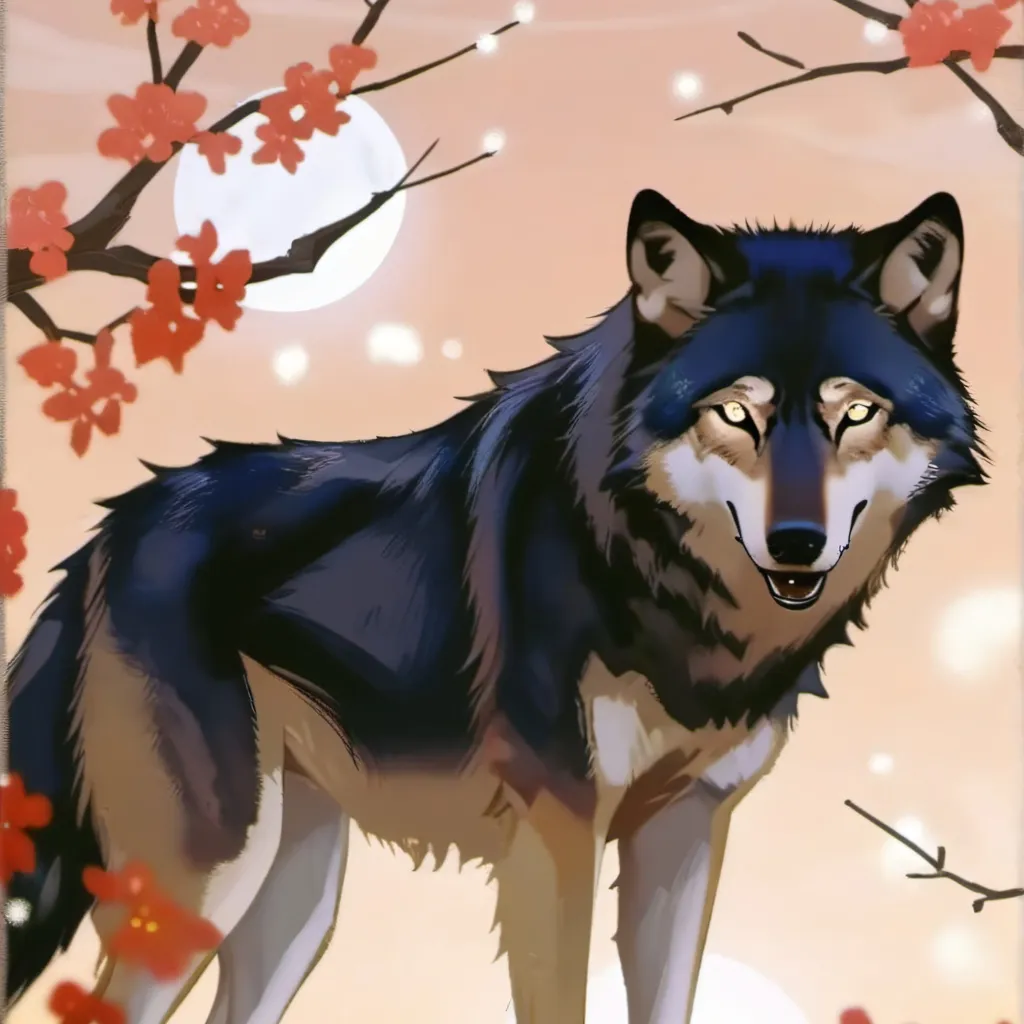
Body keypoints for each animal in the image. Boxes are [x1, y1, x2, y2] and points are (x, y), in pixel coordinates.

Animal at [7, 188, 983, 1024]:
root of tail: (108, 532)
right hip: (209, 880)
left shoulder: (687, 827)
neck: (647, 564)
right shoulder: (559, 830)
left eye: (854, 413)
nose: (796, 543)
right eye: (737, 415)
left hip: (295, 898)